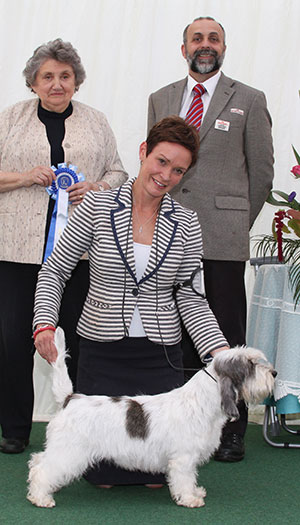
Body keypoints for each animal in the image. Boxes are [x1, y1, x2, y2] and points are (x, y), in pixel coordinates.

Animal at [27, 328, 276, 508]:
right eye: (250, 364)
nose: (274, 373)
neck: (201, 402)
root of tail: (70, 398)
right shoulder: (183, 458)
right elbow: (184, 478)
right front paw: (190, 499)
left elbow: (191, 477)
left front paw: (195, 492)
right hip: (69, 452)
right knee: (43, 469)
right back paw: (41, 498)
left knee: (37, 461)